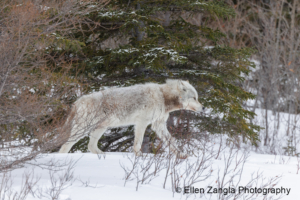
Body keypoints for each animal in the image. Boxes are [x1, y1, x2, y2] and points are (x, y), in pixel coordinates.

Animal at [58, 79, 204, 157]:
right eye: (194, 98)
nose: (203, 108)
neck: (163, 97)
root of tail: (77, 102)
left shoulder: (158, 124)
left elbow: (172, 141)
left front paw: (181, 155)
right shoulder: (142, 123)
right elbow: (138, 143)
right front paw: (139, 156)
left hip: (100, 129)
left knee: (90, 146)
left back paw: (104, 155)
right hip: (83, 130)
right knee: (65, 146)